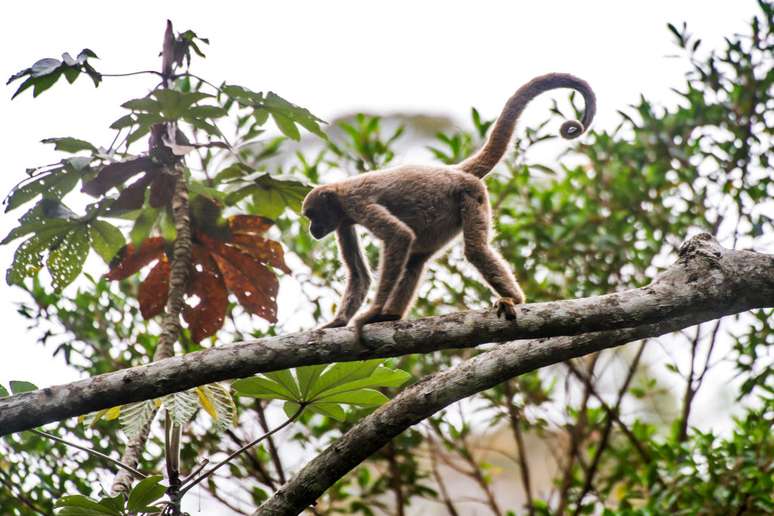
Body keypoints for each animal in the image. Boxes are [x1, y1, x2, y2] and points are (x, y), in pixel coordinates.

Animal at [304, 70, 596, 340]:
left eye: (312, 215)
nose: (311, 230)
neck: (340, 193)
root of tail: (453, 170)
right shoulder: (343, 221)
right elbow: (359, 274)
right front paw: (338, 322)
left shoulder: (355, 203)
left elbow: (399, 236)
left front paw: (372, 311)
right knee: (416, 259)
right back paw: (392, 315)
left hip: (471, 195)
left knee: (474, 250)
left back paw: (513, 299)